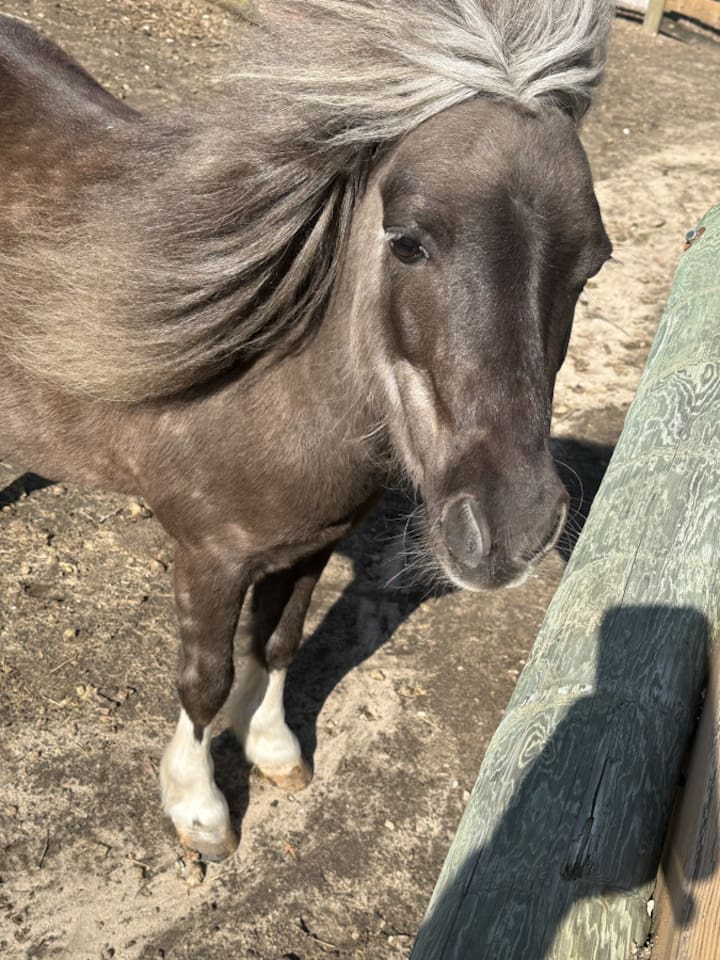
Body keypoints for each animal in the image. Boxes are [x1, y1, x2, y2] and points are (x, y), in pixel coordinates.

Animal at [0, 0, 613, 862]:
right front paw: (199, 809)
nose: (511, 530)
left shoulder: (312, 544)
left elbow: (279, 644)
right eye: (408, 241)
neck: (271, 379)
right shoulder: (209, 558)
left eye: (592, 264)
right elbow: (206, 680)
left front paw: (274, 751)